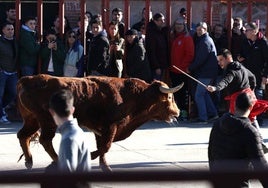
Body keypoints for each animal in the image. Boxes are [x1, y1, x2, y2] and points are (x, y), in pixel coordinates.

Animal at [16, 74, 182, 171]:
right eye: (169, 98)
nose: (178, 112)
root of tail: (27, 80)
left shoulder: (100, 129)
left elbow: (102, 146)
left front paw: (105, 167)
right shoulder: (111, 126)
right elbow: (105, 146)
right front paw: (90, 157)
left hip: (32, 119)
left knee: (23, 136)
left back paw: (29, 161)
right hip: (46, 121)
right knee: (45, 140)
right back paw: (56, 162)